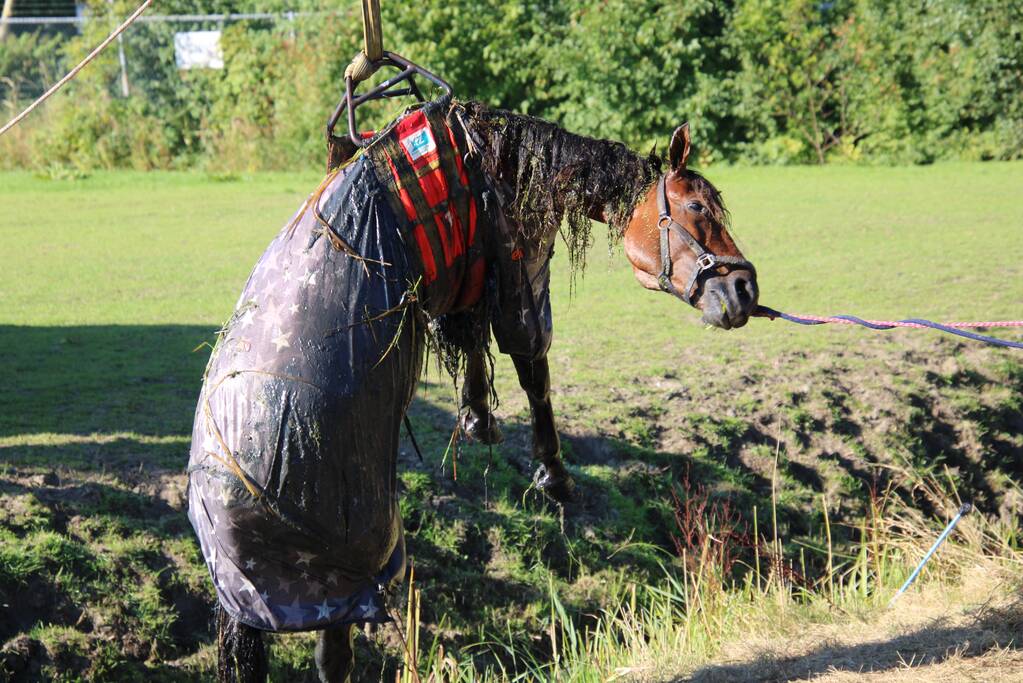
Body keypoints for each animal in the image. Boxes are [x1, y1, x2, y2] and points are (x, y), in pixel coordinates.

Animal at [187, 96, 758, 683]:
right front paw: (552, 473)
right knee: (335, 655)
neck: (486, 159)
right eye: (697, 207)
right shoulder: (520, 264)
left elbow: (472, 339)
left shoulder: (470, 282)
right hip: (343, 580)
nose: (745, 289)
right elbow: (531, 366)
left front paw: (476, 417)